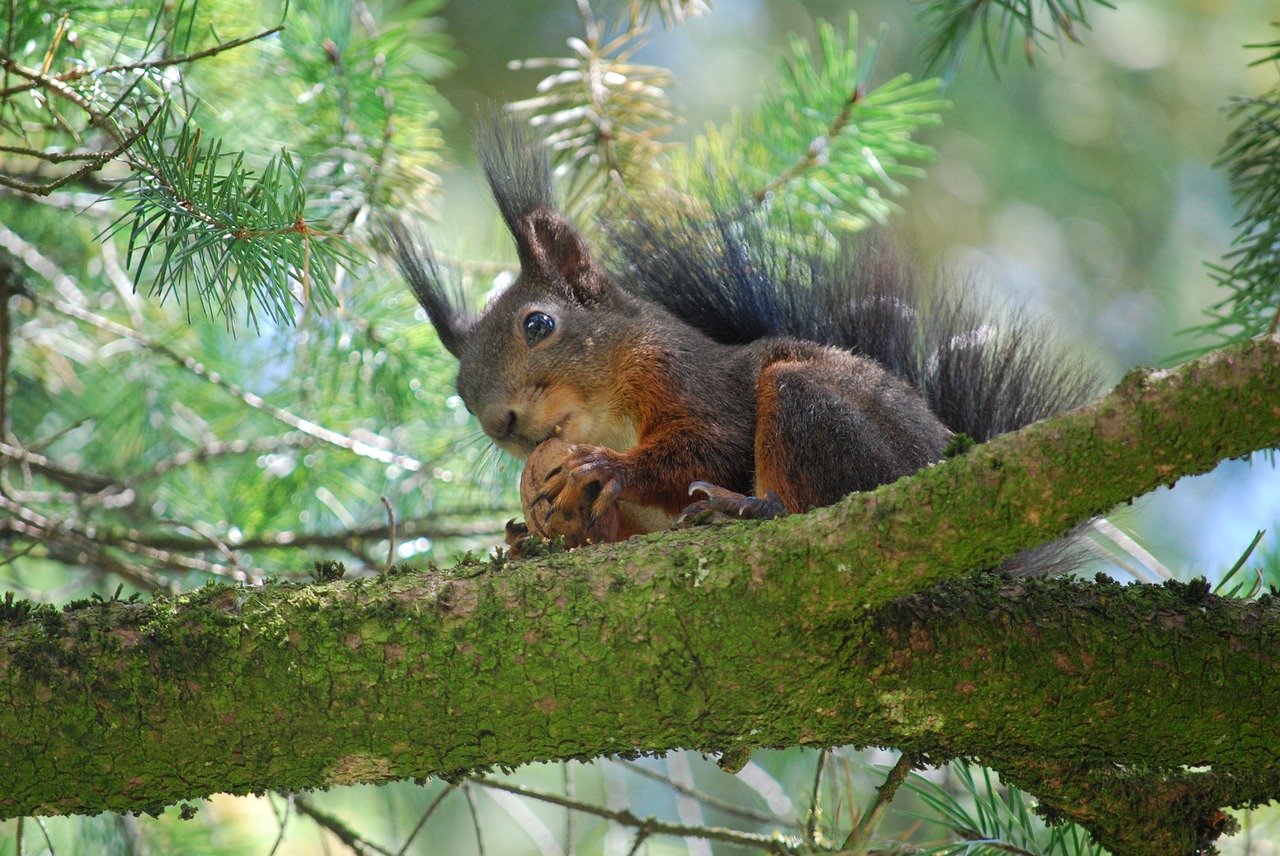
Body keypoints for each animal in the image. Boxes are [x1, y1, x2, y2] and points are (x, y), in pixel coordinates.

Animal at [384, 117, 1095, 550]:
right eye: (458, 389)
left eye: (539, 324)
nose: (500, 423)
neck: (608, 410)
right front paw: (529, 535)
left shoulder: (694, 382)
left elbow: (713, 446)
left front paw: (605, 466)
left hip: (819, 411)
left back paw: (748, 507)